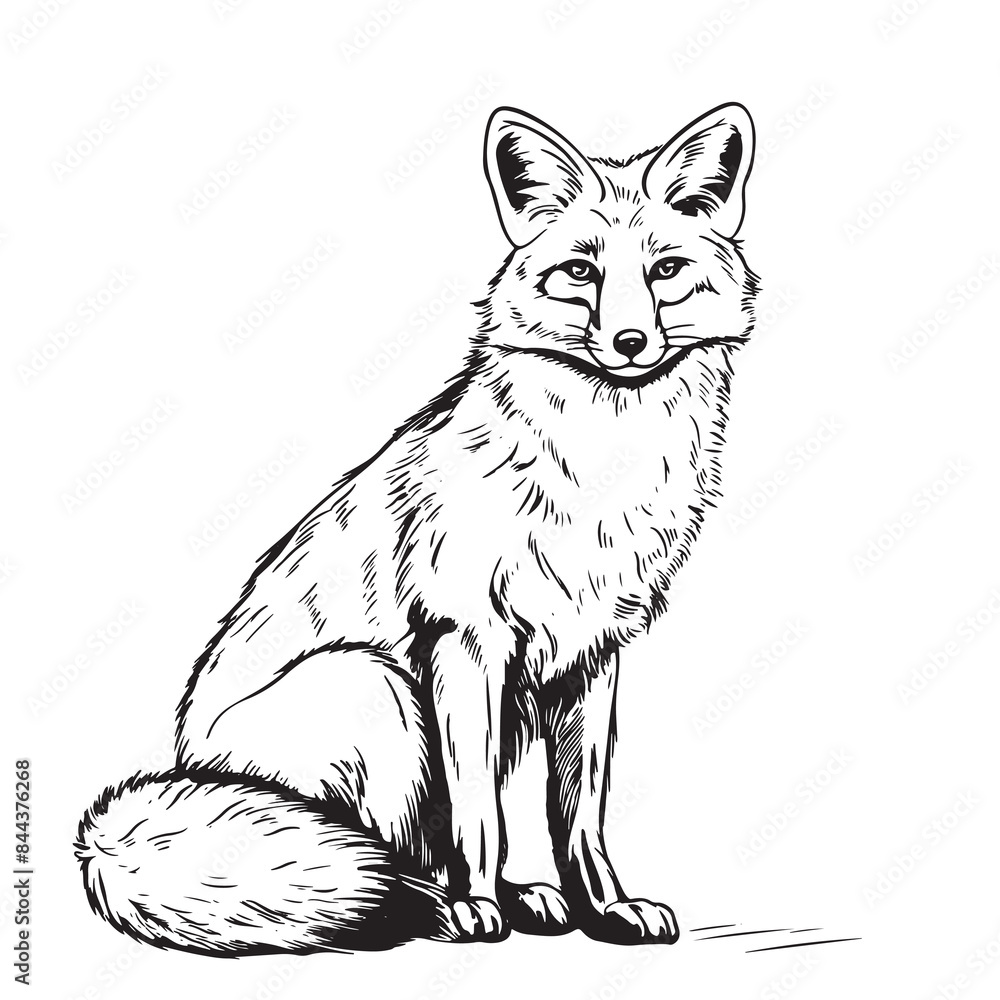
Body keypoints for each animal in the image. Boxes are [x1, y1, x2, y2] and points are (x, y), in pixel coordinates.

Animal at [76, 102, 759, 956]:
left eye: (666, 271)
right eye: (579, 274)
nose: (630, 344)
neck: (601, 474)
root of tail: (187, 766)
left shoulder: (593, 652)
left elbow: (578, 816)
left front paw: (606, 907)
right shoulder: (464, 638)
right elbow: (478, 816)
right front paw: (477, 907)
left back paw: (522, 897)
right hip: (376, 687)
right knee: (389, 854)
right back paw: (443, 905)